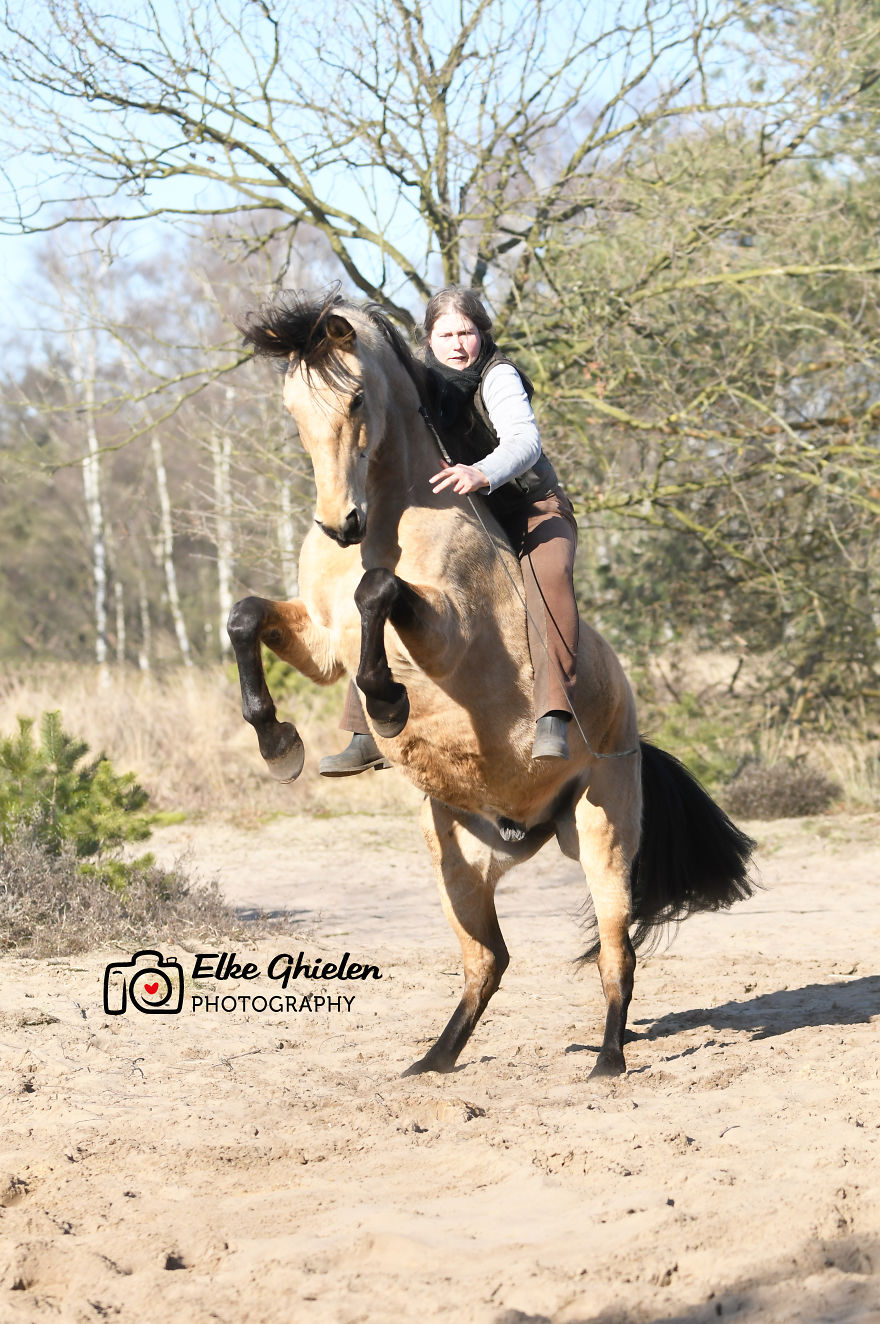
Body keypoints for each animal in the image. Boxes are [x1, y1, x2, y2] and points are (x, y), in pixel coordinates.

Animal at [228, 291, 755, 1079]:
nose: (338, 523)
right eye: (292, 407)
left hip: (601, 835)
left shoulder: (447, 635)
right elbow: (246, 616)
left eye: (354, 398)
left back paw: (607, 1061)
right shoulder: (322, 644)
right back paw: (430, 1063)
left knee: (616, 955)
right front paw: (278, 741)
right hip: (459, 860)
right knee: (488, 960)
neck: (390, 516)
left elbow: (380, 592)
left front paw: (387, 703)